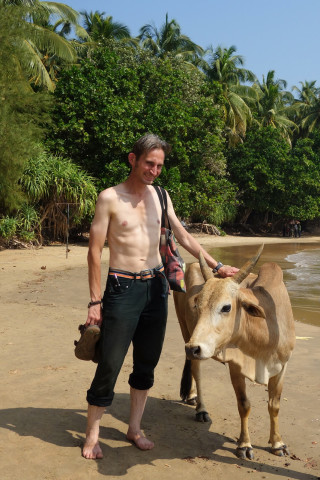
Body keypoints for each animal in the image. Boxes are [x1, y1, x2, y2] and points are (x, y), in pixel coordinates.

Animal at [174, 246, 296, 460]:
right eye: (197, 305)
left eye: (226, 307)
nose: (192, 347)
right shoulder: (236, 367)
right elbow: (244, 405)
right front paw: (244, 445)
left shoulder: (282, 366)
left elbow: (274, 405)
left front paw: (277, 443)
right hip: (187, 333)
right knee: (196, 371)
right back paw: (201, 409)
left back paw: (191, 395)